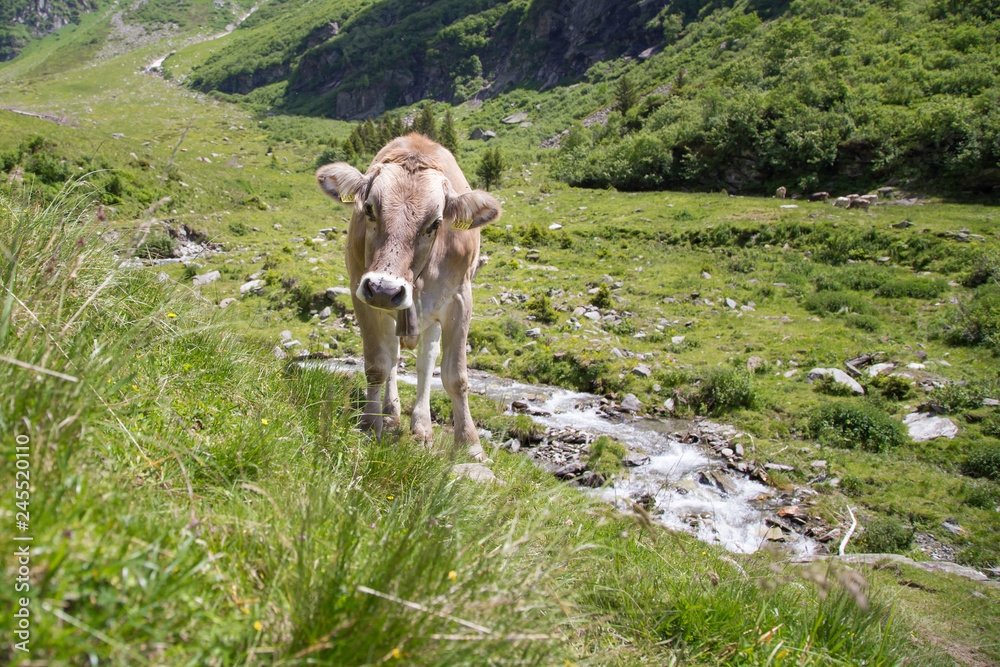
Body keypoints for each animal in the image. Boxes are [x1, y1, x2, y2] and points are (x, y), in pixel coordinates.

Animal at [316, 135, 500, 460]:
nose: (385, 288)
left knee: (426, 361)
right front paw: (370, 425)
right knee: (392, 356)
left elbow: (456, 376)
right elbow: (377, 365)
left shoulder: (460, 300)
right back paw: (390, 414)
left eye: (436, 223)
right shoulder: (361, 293)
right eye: (369, 209)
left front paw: (470, 444)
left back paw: (421, 426)